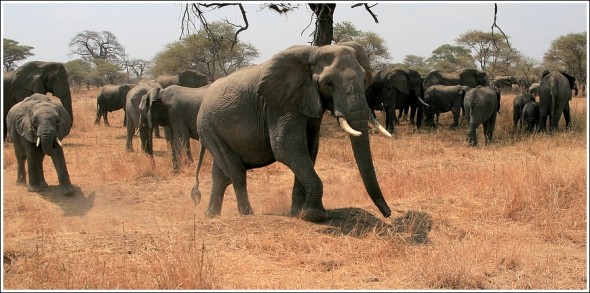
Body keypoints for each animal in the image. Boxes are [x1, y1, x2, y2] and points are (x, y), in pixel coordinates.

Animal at [192, 40, 394, 221]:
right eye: (328, 83)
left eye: (365, 79)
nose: (388, 213)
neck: (315, 51)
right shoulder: (280, 104)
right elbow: (287, 148)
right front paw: (315, 216)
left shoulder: (308, 101)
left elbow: (309, 150)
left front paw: (299, 213)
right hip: (208, 127)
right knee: (236, 172)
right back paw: (247, 214)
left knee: (221, 174)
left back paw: (212, 215)